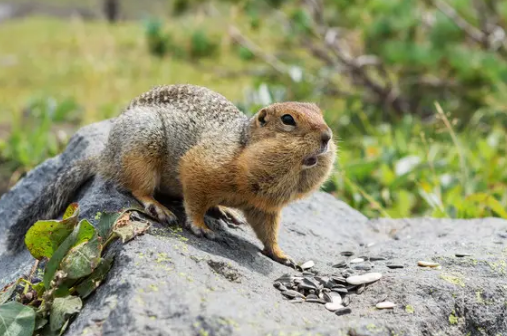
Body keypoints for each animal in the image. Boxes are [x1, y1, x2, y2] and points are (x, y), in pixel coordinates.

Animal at [7, 83, 338, 266]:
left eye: (321, 113)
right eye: (288, 120)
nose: (328, 135)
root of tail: (105, 155)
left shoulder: (264, 207)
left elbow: (268, 231)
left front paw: (282, 255)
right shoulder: (201, 166)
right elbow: (194, 198)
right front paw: (201, 226)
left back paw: (224, 211)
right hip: (141, 149)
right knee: (135, 186)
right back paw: (159, 207)